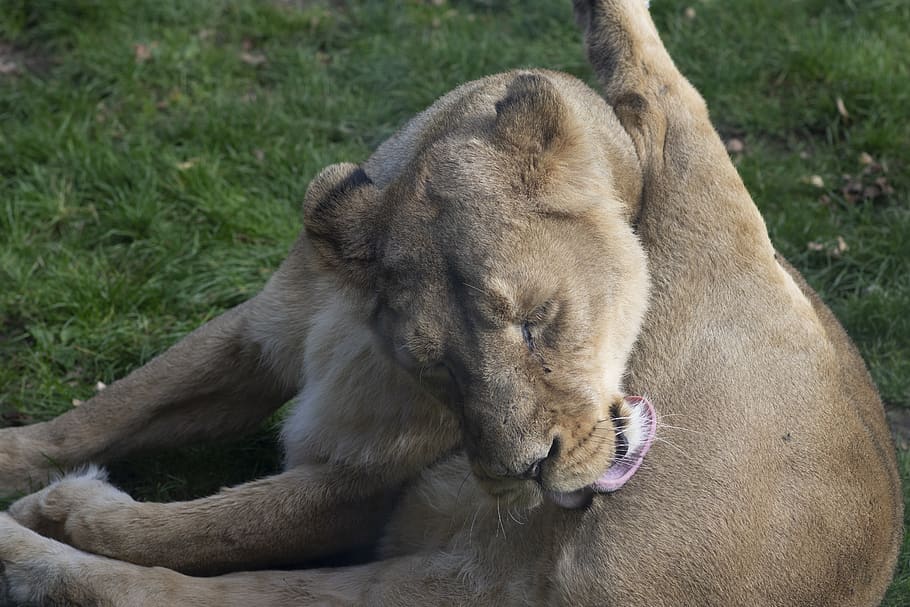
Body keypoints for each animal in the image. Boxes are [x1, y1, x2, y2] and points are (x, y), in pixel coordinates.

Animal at [0, 1, 901, 605]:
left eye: (539, 324)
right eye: (434, 364)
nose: (523, 468)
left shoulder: (359, 488)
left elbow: (209, 525)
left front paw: (66, 503)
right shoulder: (260, 332)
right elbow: (111, 407)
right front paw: (20, 452)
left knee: (162, 587)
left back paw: (53, 518)